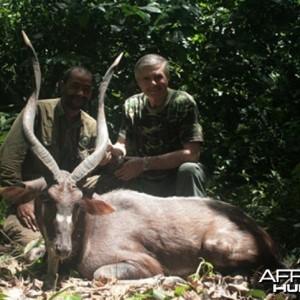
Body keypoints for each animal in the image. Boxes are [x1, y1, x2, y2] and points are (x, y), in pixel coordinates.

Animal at [0, 31, 284, 290]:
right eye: (47, 198)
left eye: (78, 203)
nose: (61, 248)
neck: (90, 229)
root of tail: (262, 234)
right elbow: (31, 253)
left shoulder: (140, 263)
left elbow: (102, 274)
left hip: (217, 246)